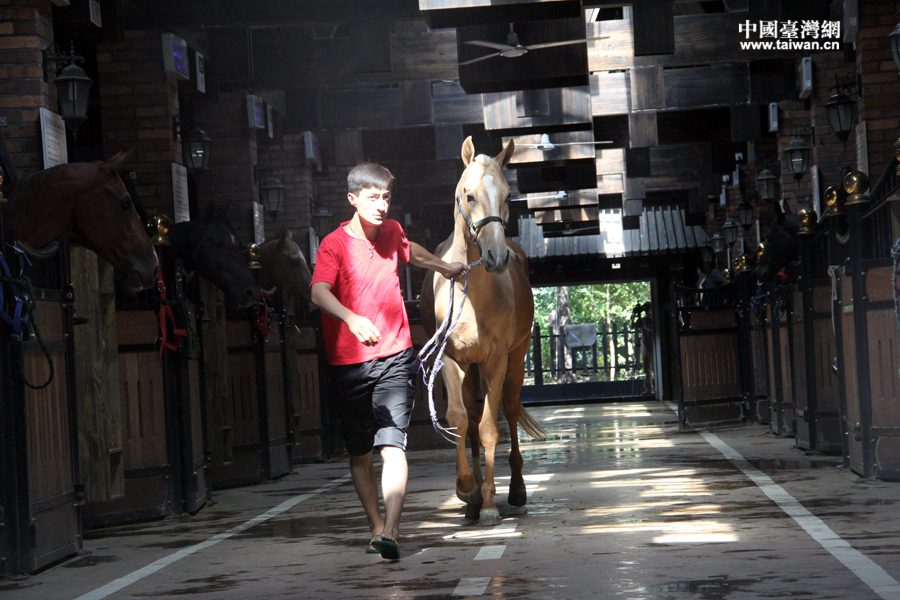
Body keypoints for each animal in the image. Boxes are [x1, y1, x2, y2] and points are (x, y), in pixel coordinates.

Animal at [420, 134, 544, 524]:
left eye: (507, 196)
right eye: (469, 195)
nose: (495, 257)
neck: (473, 296)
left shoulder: (496, 360)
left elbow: (491, 427)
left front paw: (489, 502)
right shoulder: (451, 360)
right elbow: (460, 420)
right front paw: (467, 489)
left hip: (515, 359)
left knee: (509, 408)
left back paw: (515, 489)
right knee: (472, 416)